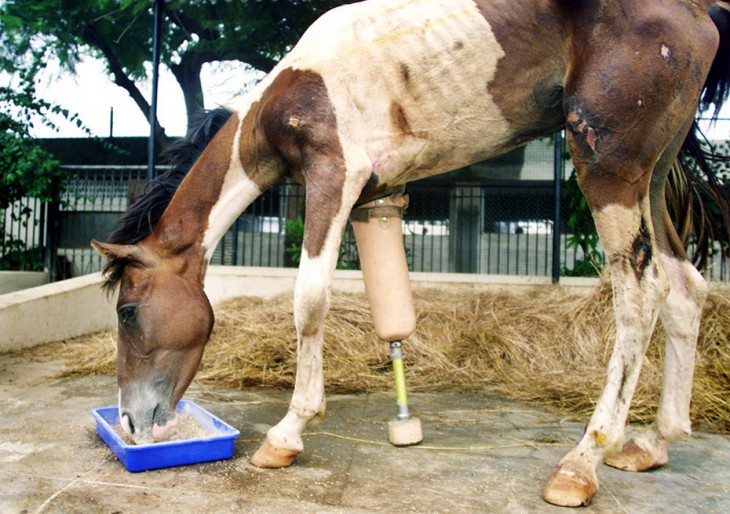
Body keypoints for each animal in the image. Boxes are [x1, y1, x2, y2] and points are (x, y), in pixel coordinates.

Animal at [92, 0, 728, 504]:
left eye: (127, 311)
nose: (129, 420)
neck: (294, 87)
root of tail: (699, 11)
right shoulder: (375, 198)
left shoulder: (334, 175)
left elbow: (310, 299)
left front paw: (287, 433)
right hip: (652, 174)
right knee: (685, 290)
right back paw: (652, 442)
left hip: (609, 164)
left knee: (639, 295)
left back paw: (583, 462)